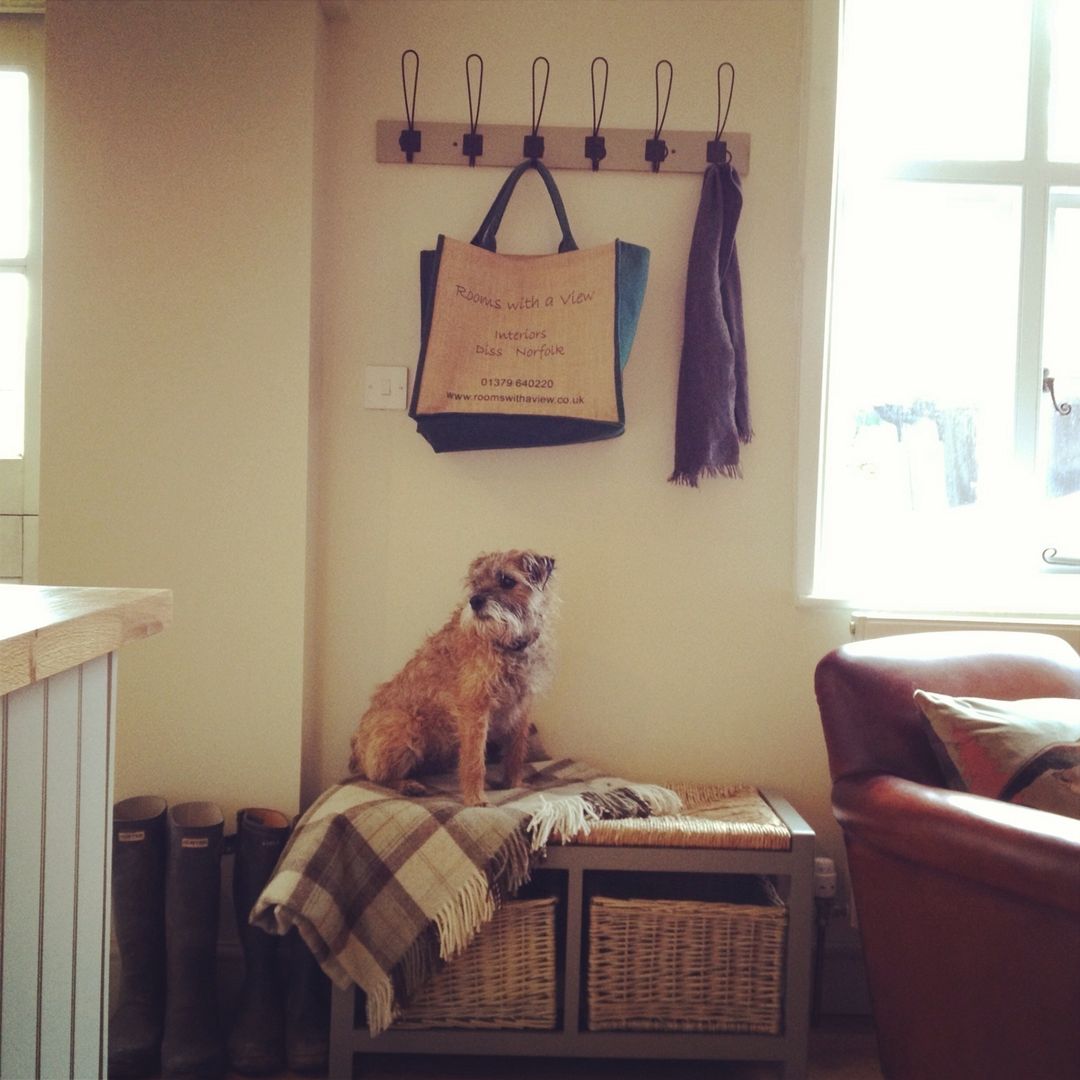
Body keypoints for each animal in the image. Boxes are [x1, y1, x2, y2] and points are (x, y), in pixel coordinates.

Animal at [349, 552, 561, 807]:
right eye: (475, 583)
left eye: (507, 581)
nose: (475, 601)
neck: (507, 645)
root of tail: (356, 750)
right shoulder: (474, 709)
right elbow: (474, 760)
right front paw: (475, 799)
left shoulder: (522, 709)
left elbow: (516, 752)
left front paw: (514, 784)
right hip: (406, 725)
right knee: (376, 776)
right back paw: (407, 784)